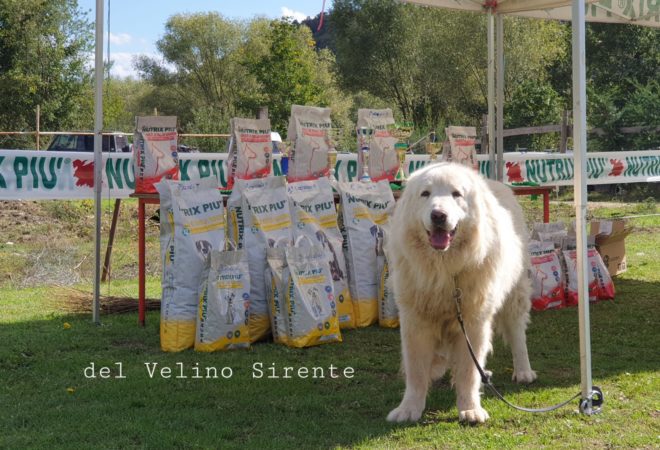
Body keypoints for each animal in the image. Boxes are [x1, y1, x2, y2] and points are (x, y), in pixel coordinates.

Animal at [386, 163, 536, 426]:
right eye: (425, 194)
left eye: (456, 194)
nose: (438, 215)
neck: (444, 268)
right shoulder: (415, 322)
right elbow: (416, 371)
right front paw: (409, 408)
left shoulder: (473, 322)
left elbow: (468, 370)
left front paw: (470, 409)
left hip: (514, 295)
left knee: (517, 334)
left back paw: (523, 371)